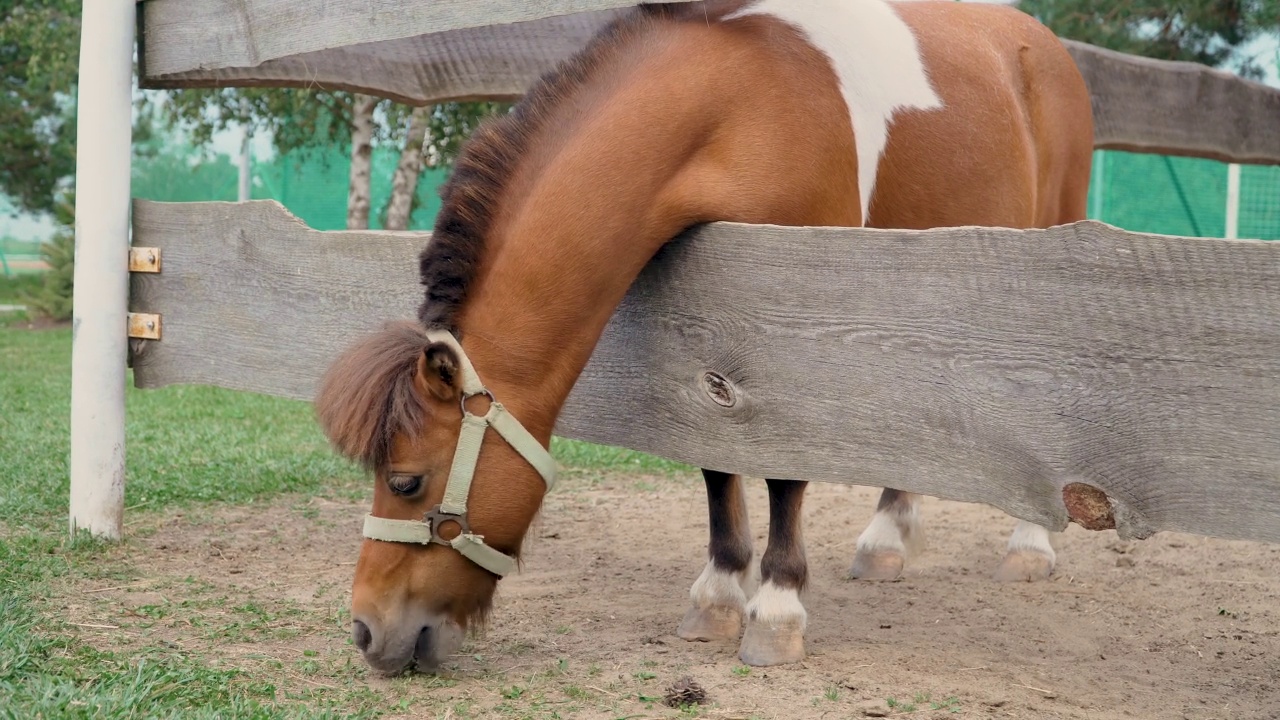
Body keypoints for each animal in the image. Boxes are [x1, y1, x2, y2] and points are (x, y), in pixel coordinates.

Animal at [314, 0, 1095, 671]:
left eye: (406, 480)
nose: (365, 631)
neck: (737, 105)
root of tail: (1040, 43)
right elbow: (717, 462)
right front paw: (719, 592)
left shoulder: (785, 306)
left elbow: (783, 467)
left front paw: (776, 609)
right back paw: (886, 541)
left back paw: (1030, 546)